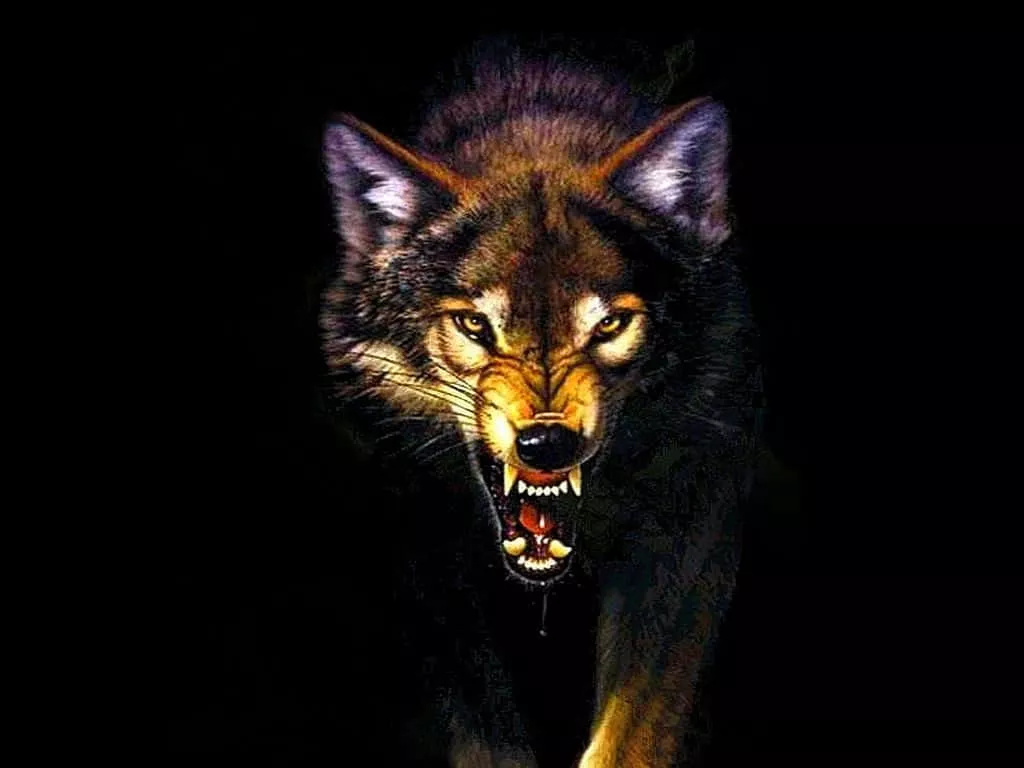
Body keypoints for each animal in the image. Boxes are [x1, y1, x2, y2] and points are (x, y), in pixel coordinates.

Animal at [320, 42, 763, 767]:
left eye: (609, 325)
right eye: (475, 325)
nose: (547, 443)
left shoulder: (693, 529)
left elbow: (630, 734)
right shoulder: (422, 548)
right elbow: (485, 729)